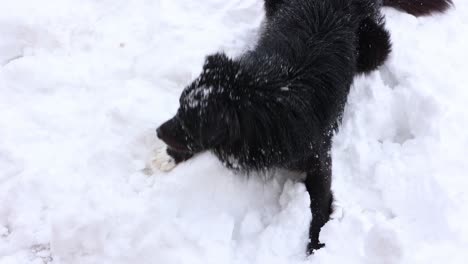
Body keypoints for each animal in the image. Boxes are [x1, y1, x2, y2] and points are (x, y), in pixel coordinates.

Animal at [155, 0, 452, 254]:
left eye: (191, 121)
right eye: (179, 107)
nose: (157, 132)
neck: (266, 103)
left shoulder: (319, 158)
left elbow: (319, 205)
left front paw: (317, 243)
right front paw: (166, 157)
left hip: (373, 47)